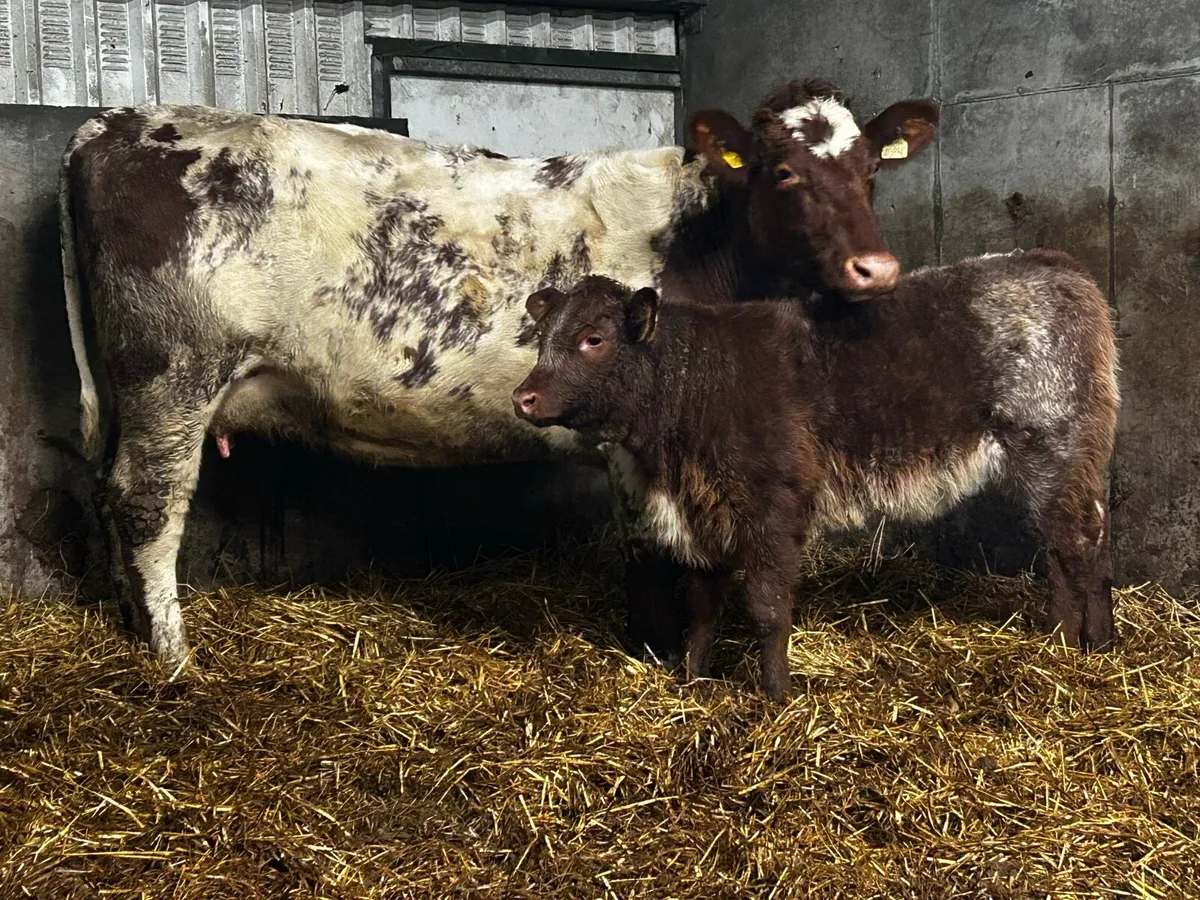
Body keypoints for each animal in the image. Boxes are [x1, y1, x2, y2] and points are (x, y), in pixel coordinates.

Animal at [60, 79, 938, 670]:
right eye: (784, 171)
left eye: (871, 170)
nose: (876, 269)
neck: (698, 243)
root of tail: (116, 122)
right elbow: (649, 547)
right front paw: (654, 655)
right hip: (173, 373)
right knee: (148, 504)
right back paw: (173, 657)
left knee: (108, 492)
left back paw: (132, 626)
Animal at [512, 257, 1119, 699]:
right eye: (542, 339)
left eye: (594, 339)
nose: (524, 397)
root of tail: (1063, 268)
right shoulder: (704, 516)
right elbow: (704, 607)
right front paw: (693, 680)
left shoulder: (774, 508)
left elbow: (767, 608)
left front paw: (777, 694)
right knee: (1068, 547)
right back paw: (1072, 641)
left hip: (1056, 447)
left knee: (1081, 546)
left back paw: (1089, 646)